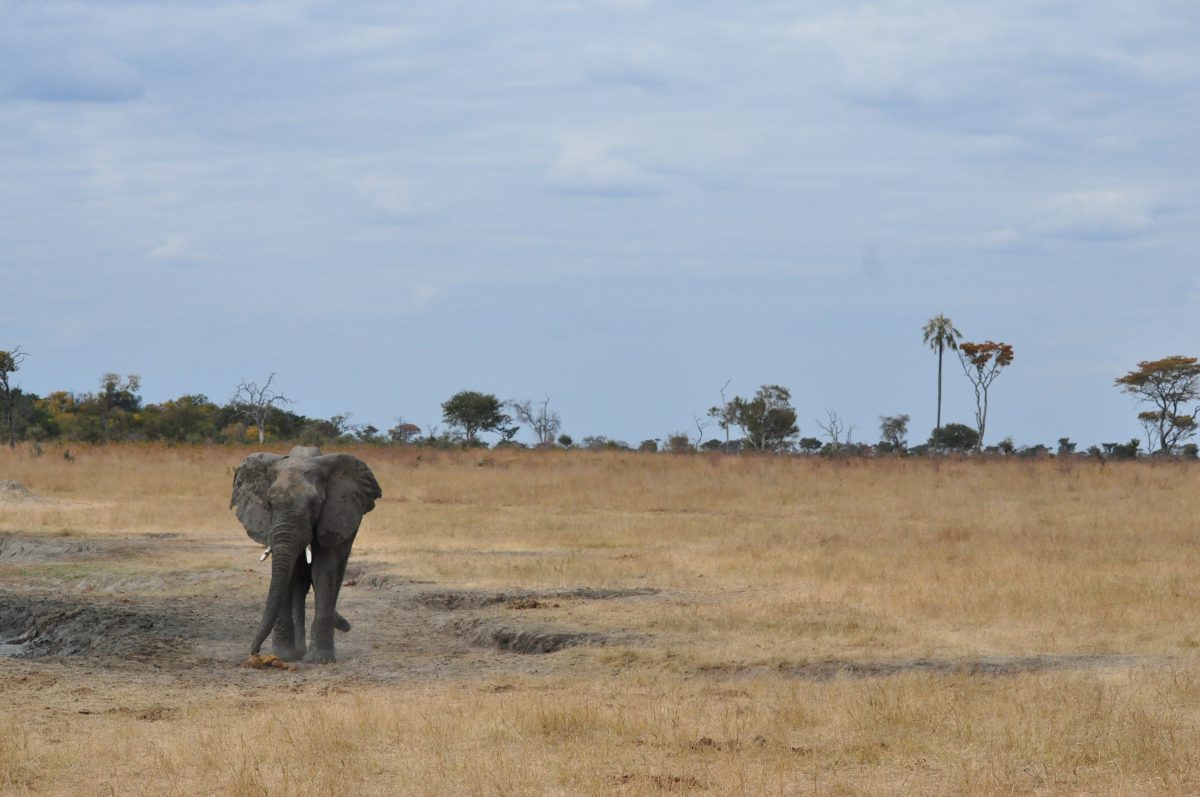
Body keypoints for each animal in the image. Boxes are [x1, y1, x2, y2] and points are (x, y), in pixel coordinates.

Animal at [228, 444, 379, 662]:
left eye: (314, 505)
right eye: (270, 504)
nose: (254, 653)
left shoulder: (332, 517)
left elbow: (322, 572)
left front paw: (321, 660)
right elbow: (286, 576)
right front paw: (283, 656)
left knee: (333, 575)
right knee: (299, 583)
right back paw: (298, 652)